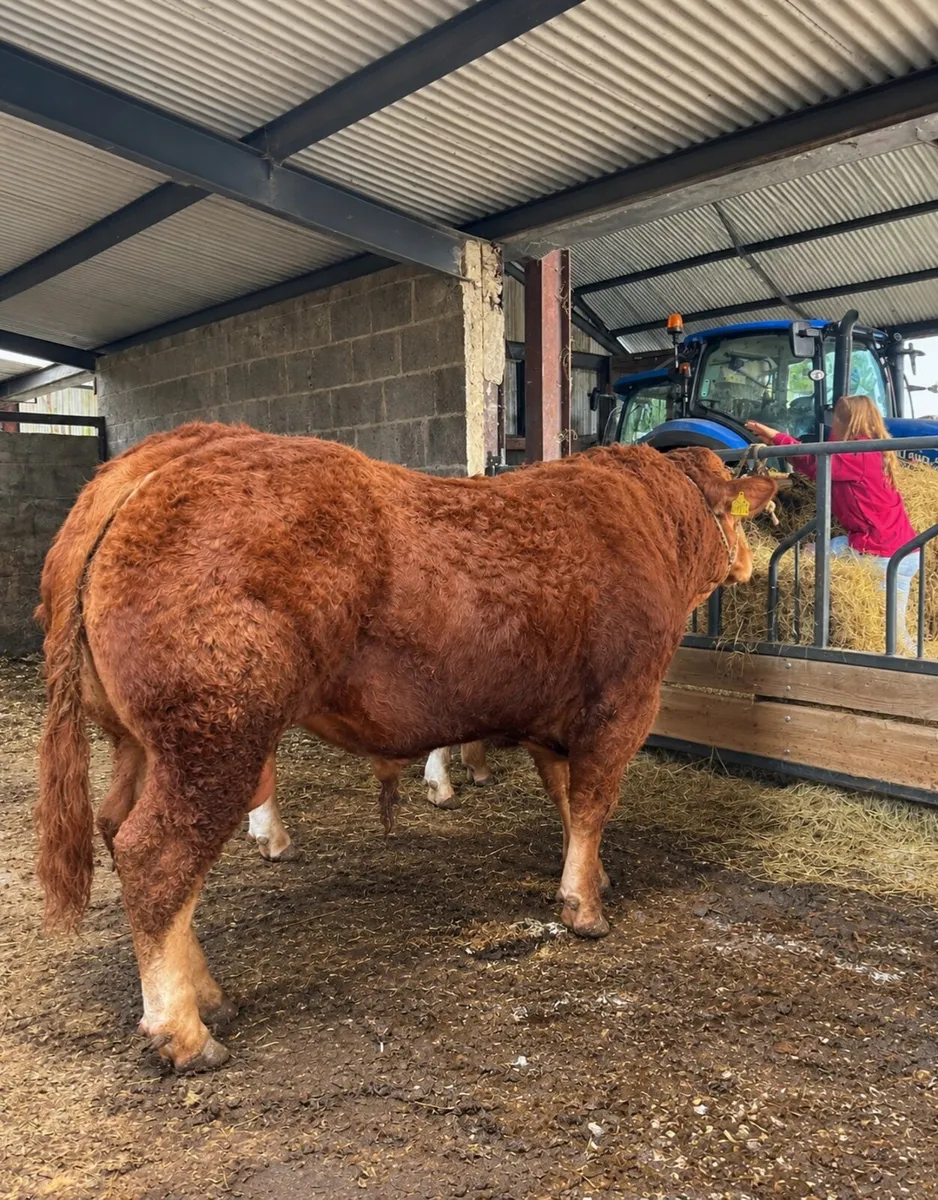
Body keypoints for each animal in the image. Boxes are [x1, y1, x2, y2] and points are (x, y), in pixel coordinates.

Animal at [35, 427, 776, 1071]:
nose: (746, 560)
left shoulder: (554, 719)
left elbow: (567, 801)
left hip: (142, 743)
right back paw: (185, 1034)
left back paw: (210, 997)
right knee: (157, 858)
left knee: (118, 828)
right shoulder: (624, 700)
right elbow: (594, 801)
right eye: (738, 515)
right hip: (215, 734)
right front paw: (585, 909)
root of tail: (157, 460)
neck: (656, 522)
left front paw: (593, 875)